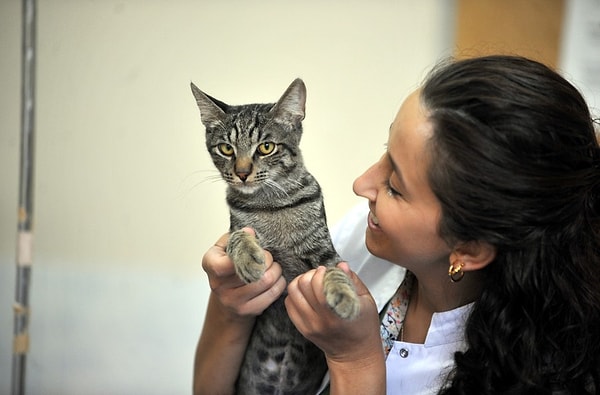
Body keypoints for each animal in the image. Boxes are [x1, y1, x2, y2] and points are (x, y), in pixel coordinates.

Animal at [192, 79, 360, 394]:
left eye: (266, 147)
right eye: (226, 148)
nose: (242, 173)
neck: (270, 203)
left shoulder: (324, 251)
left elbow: (335, 271)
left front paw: (345, 295)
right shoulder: (235, 227)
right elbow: (237, 237)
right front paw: (248, 257)